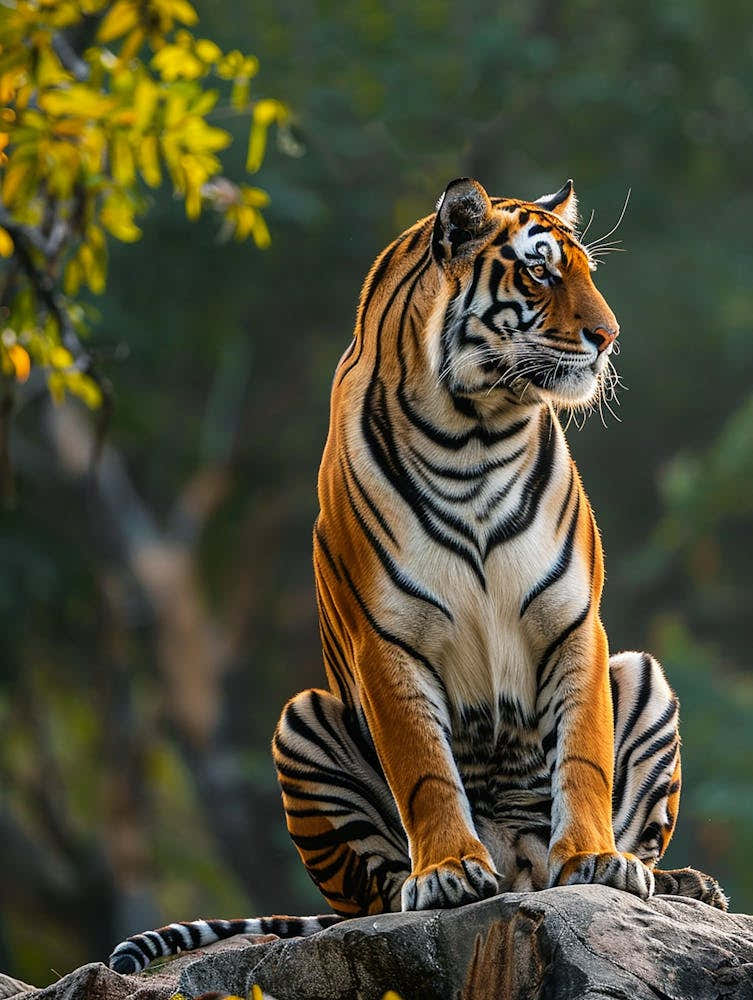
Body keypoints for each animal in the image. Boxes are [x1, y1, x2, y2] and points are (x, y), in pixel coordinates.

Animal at [109, 178, 726, 975]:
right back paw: (419, 889)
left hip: (643, 673)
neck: (475, 432)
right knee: (366, 902)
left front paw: (596, 861)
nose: (608, 336)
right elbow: (425, 770)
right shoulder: (387, 640)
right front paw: (448, 873)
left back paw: (674, 881)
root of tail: (522, 873)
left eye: (587, 273)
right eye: (540, 272)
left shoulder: (571, 623)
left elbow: (583, 756)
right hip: (301, 721)